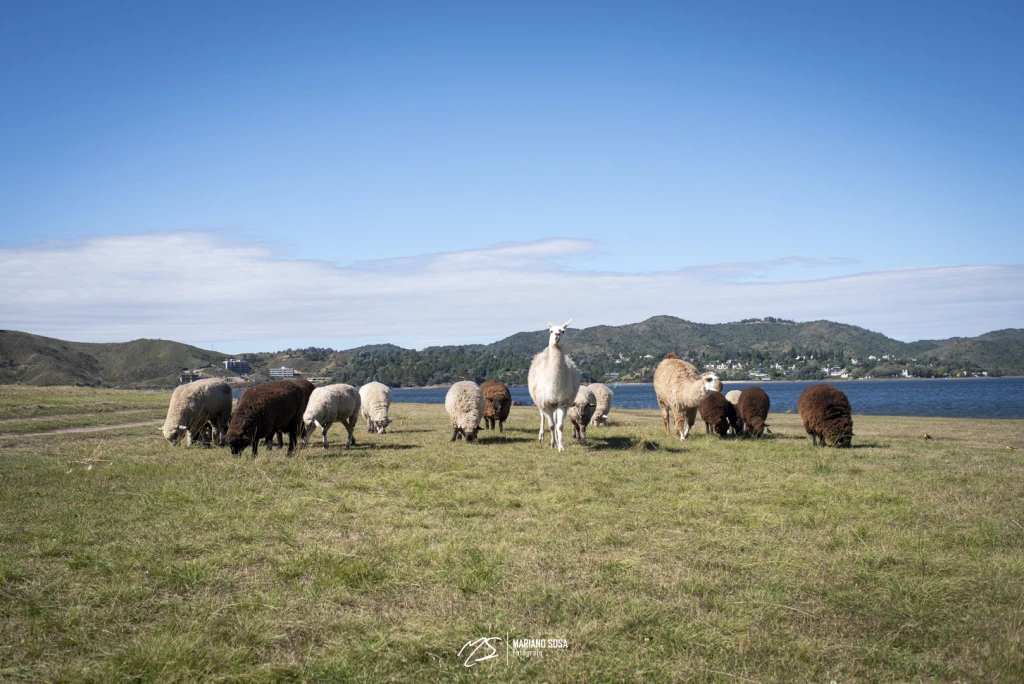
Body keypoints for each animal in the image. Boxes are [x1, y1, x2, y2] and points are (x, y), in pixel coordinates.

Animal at [532, 321, 581, 454]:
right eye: (551, 331)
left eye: (563, 331)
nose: (557, 335)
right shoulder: (546, 403)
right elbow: (551, 425)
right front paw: (553, 444)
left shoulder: (562, 402)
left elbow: (559, 426)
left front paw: (560, 446)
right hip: (540, 401)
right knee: (543, 416)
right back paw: (541, 436)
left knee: (554, 418)